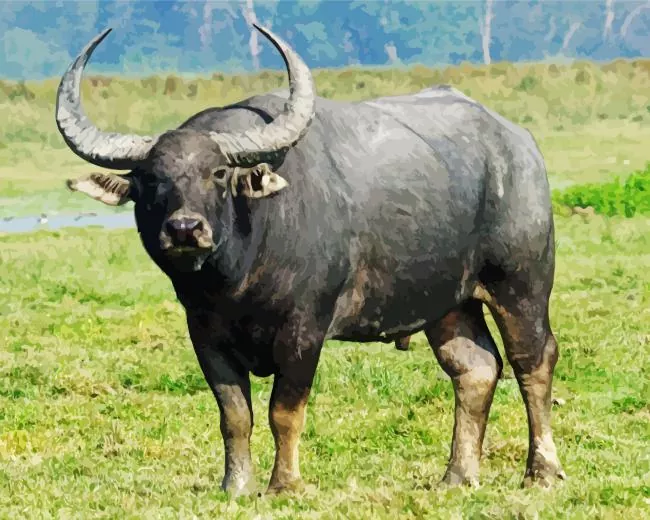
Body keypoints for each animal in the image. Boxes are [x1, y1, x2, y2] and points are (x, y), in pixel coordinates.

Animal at [57, 25, 566, 495]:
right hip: (451, 302)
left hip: (520, 283)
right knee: (475, 368)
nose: (184, 228)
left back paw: (541, 472)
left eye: (218, 172)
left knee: (532, 361)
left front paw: (284, 484)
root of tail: (518, 144)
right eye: (148, 179)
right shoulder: (204, 334)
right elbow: (234, 414)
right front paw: (236, 485)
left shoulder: (304, 329)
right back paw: (458, 475)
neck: (236, 280)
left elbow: (284, 410)